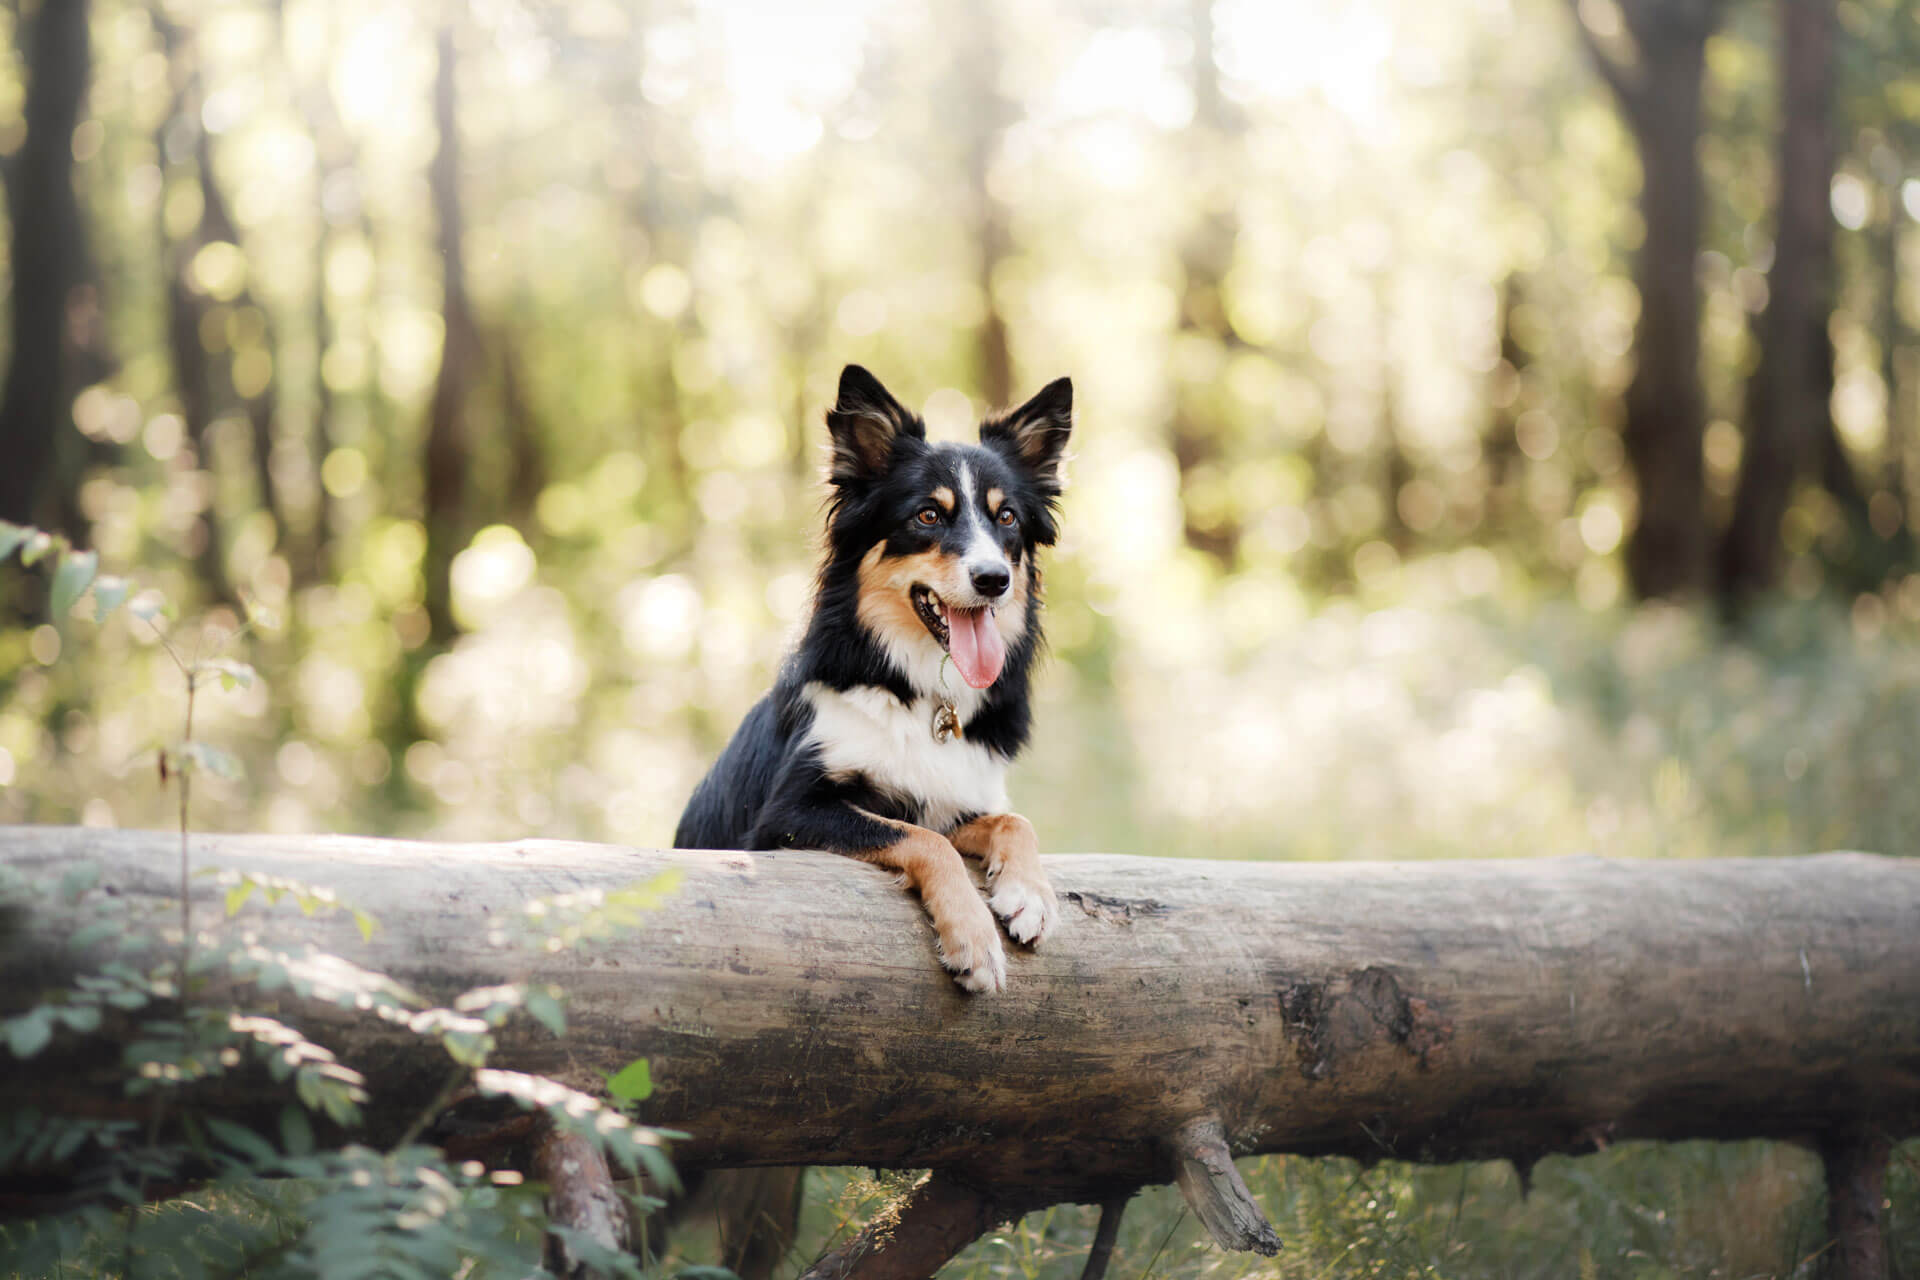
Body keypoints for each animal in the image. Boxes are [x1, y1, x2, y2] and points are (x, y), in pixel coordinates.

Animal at [675, 360, 1075, 990]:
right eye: (928, 515)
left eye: (1007, 516)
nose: (994, 580)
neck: (917, 691)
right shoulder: (787, 815)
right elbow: (925, 839)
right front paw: (973, 941)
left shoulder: (954, 794)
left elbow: (1012, 820)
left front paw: (1030, 895)